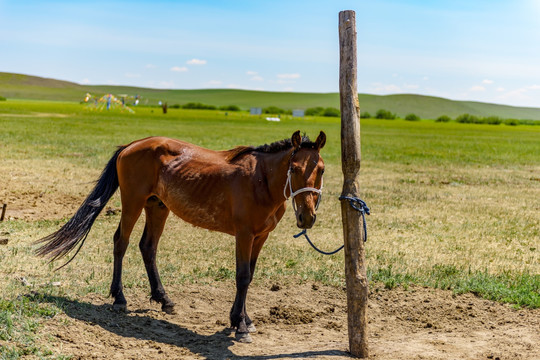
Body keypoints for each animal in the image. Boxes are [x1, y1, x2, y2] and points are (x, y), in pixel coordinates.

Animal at [38, 130, 326, 344]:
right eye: (294, 168)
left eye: (321, 169)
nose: (307, 217)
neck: (261, 180)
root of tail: (132, 145)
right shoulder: (244, 235)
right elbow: (243, 277)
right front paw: (241, 326)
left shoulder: (261, 237)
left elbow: (250, 277)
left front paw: (242, 319)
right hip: (133, 202)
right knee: (121, 242)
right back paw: (119, 298)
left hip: (157, 206)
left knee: (148, 247)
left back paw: (164, 299)